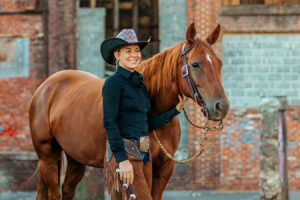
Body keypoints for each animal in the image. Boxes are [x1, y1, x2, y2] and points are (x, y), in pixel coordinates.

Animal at [28, 22, 230, 199]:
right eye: (195, 64)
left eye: (219, 63)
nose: (222, 106)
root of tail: (46, 87)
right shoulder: (145, 167)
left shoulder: (165, 168)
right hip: (48, 157)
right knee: (54, 193)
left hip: (75, 159)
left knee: (68, 190)